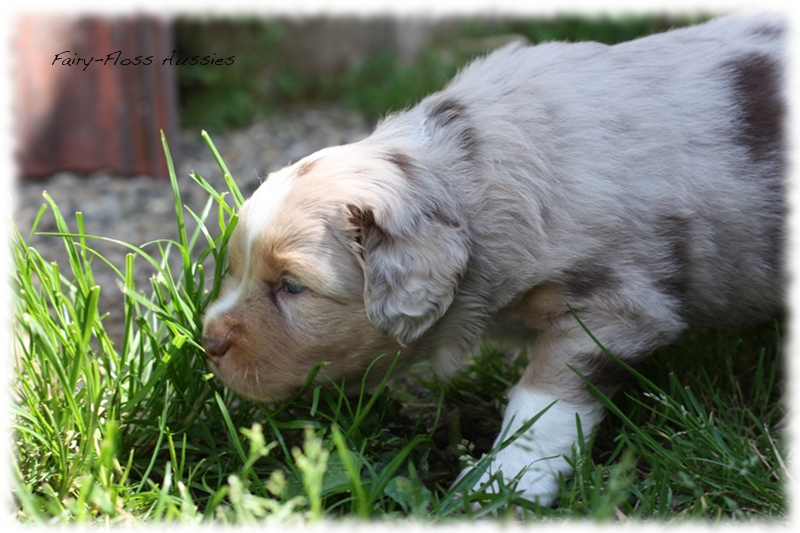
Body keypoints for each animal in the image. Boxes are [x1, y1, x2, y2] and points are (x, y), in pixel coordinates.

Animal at [203, 16, 784, 504]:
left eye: (293, 287)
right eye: (234, 267)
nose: (208, 342)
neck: (474, 173)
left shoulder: (616, 307)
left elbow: (544, 400)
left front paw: (503, 483)